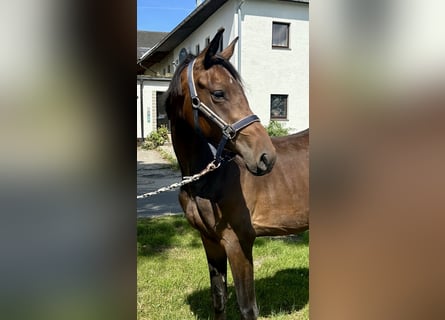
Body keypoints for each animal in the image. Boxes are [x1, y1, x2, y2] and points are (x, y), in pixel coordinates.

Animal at [165, 28, 306, 318]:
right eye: (219, 93)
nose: (265, 157)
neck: (209, 178)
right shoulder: (210, 241)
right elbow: (219, 298)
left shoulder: (239, 242)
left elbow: (247, 307)